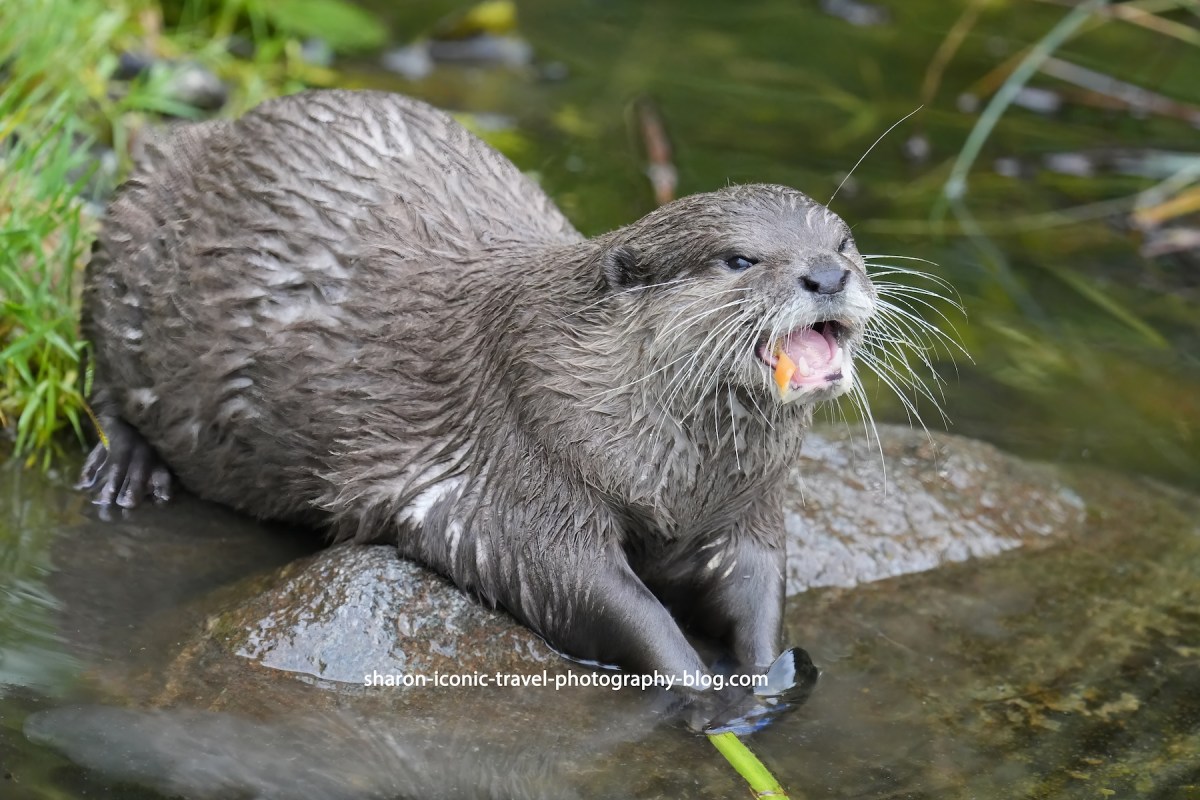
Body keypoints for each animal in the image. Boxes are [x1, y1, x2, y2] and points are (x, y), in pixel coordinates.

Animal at [77, 90, 876, 682]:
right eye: (739, 259)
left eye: (842, 242)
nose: (825, 274)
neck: (682, 481)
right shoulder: (520, 469)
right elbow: (587, 588)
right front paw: (704, 692)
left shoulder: (751, 506)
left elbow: (757, 582)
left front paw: (768, 676)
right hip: (127, 235)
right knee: (105, 381)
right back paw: (127, 468)